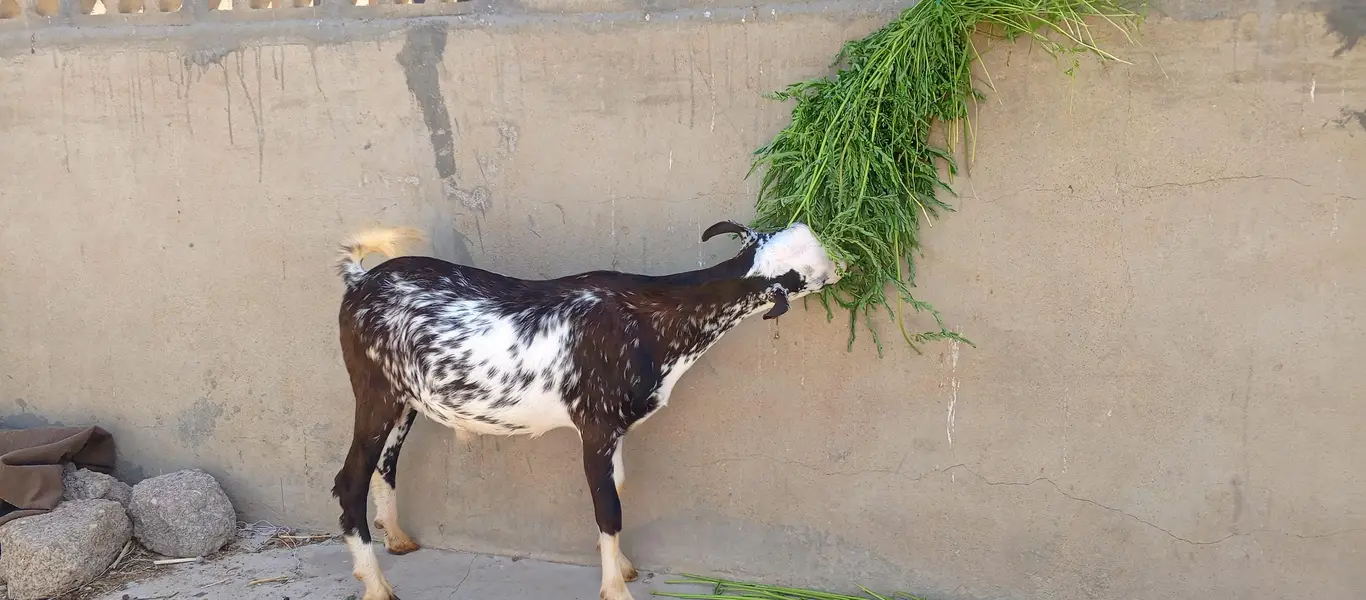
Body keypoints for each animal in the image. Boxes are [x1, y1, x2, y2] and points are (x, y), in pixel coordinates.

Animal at [331, 220, 842, 600]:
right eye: (807, 272)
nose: (842, 265)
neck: (653, 320)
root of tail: (360, 279)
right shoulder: (595, 425)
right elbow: (608, 506)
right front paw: (616, 589)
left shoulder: (616, 432)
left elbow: (617, 487)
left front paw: (624, 566)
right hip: (374, 392)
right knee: (349, 480)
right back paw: (377, 587)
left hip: (404, 401)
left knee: (385, 466)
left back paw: (397, 539)